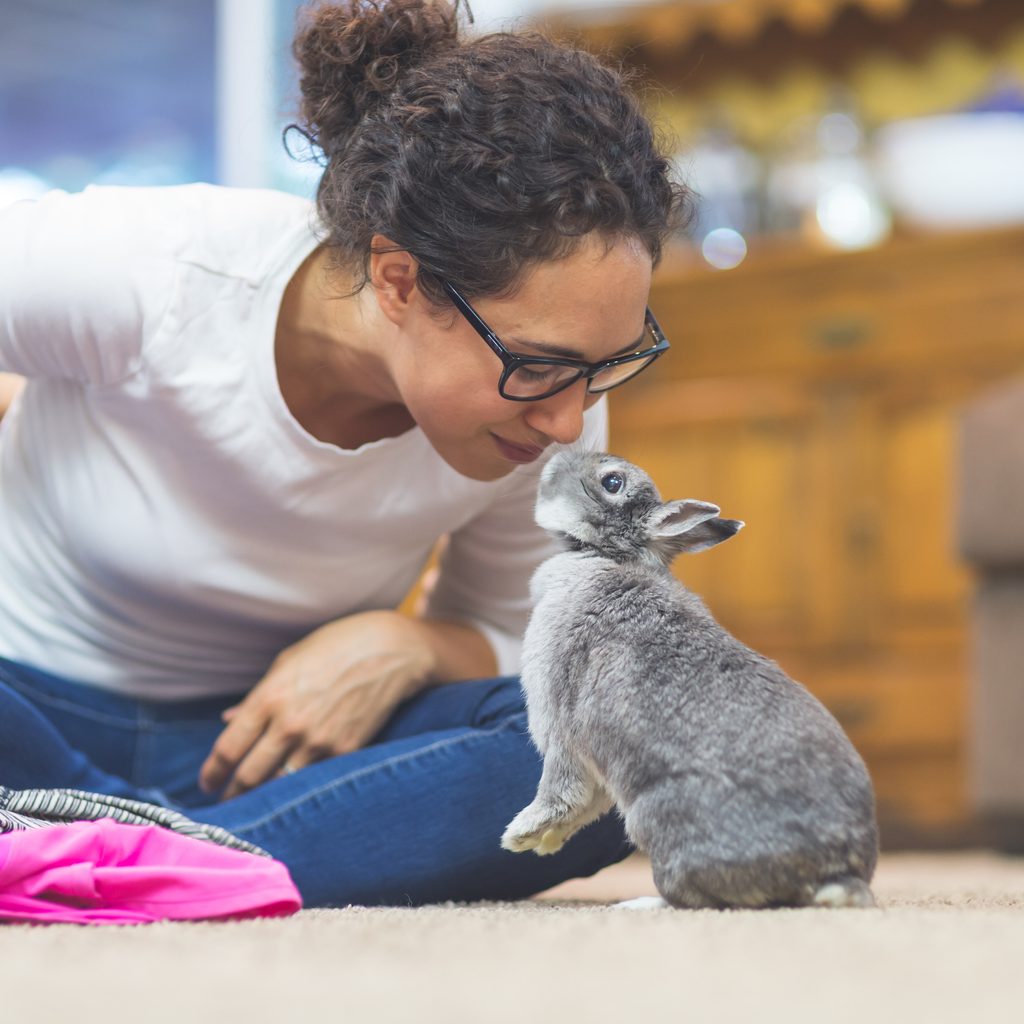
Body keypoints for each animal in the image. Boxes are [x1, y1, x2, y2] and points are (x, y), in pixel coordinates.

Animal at [501, 448, 879, 909]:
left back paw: (640, 905)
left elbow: (562, 790)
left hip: (656, 821)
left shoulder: (560, 727)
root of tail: (835, 874)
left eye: (612, 482)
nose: (558, 455)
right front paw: (545, 843)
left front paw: (519, 835)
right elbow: (588, 802)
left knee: (693, 898)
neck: (607, 555)